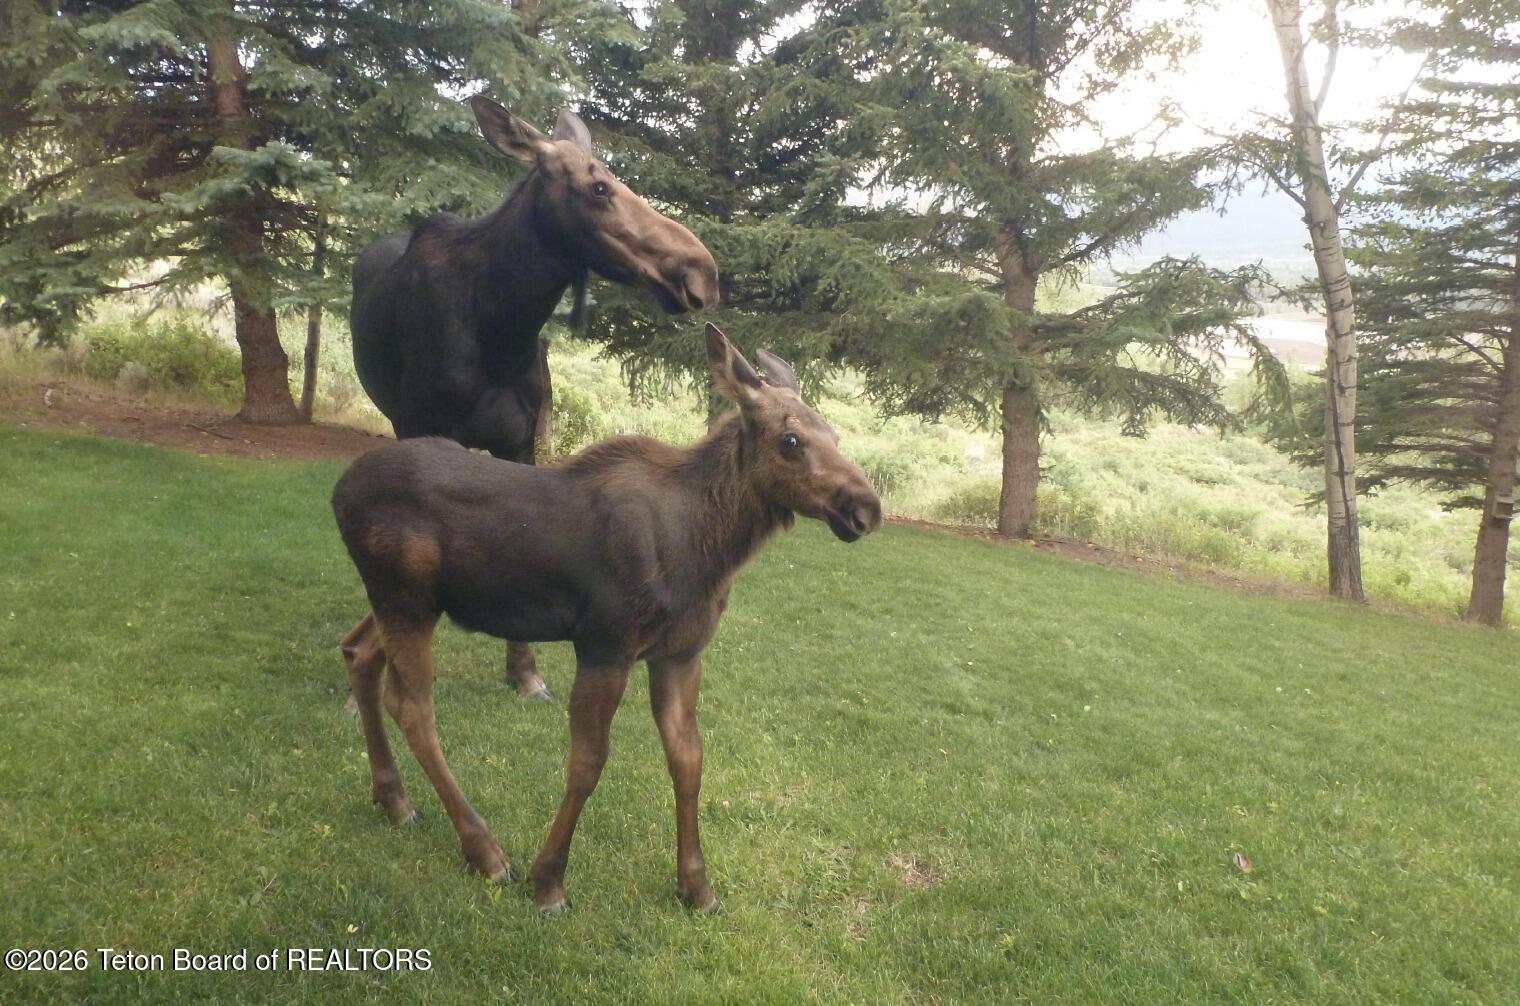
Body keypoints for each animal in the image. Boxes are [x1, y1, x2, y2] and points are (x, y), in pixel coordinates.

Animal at [331, 323, 882, 913]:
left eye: (835, 436)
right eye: (791, 440)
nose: (866, 508)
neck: (708, 550)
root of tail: (338, 493)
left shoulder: (680, 654)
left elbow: (689, 761)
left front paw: (697, 887)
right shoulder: (606, 644)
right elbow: (587, 763)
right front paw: (548, 882)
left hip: (403, 600)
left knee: (357, 651)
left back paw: (393, 799)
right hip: (406, 599)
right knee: (412, 705)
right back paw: (485, 852)